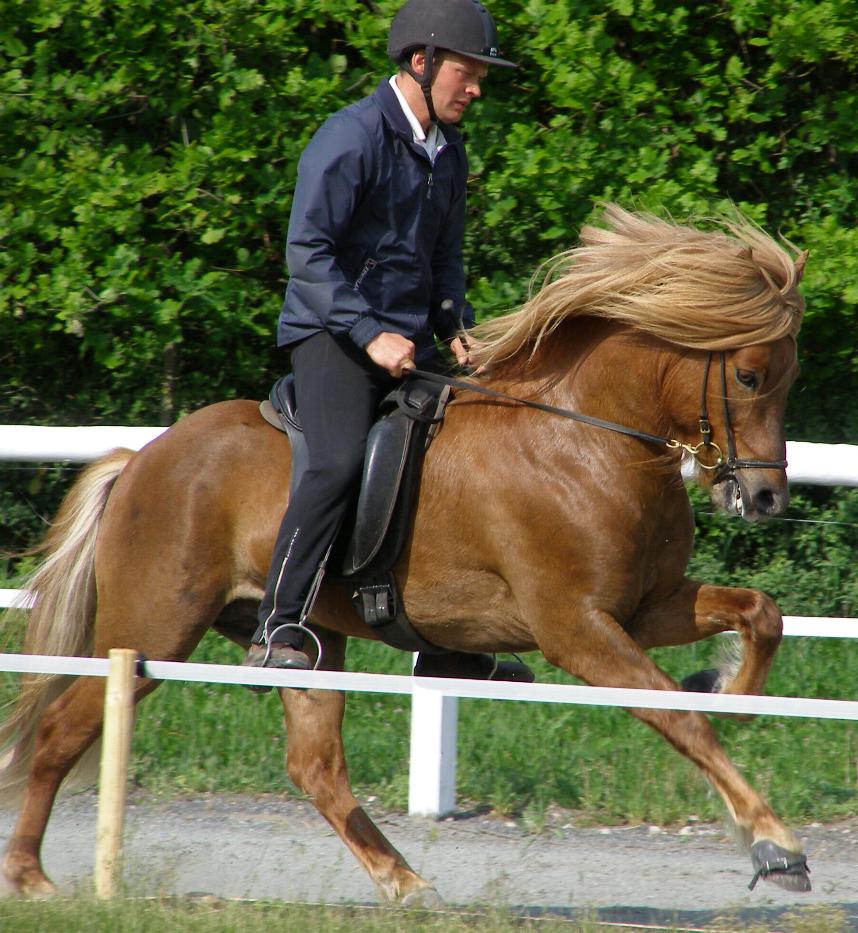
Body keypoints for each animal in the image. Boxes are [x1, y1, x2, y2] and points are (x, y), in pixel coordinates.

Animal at [1, 206, 808, 904]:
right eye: (747, 375)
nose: (766, 496)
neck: (586, 439)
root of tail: (143, 458)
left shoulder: (641, 608)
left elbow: (760, 616)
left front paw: (728, 687)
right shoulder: (577, 627)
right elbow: (678, 717)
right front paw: (775, 845)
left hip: (310, 644)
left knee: (316, 765)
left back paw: (405, 881)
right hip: (153, 627)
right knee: (63, 727)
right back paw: (31, 875)